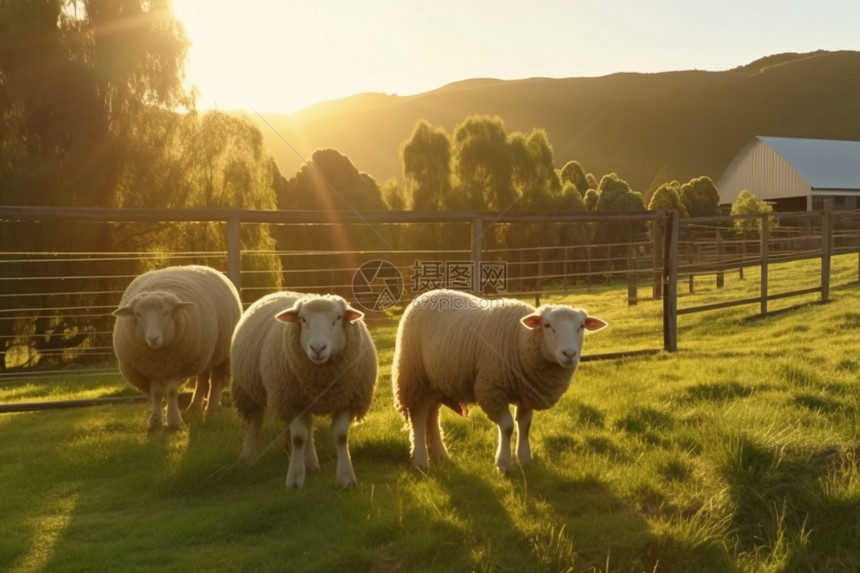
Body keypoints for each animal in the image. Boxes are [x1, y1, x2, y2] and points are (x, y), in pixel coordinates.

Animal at [111, 264, 242, 428]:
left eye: (166, 313)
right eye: (138, 314)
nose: (153, 338)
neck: (159, 356)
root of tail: (205, 267)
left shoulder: (178, 366)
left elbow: (172, 391)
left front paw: (174, 421)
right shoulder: (149, 369)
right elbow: (157, 393)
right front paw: (155, 422)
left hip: (222, 352)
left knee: (217, 381)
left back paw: (212, 411)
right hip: (204, 352)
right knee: (203, 377)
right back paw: (194, 407)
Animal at [228, 292, 376, 490]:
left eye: (338, 318)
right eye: (303, 320)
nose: (318, 348)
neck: (322, 379)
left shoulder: (348, 400)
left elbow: (340, 436)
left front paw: (346, 478)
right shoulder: (293, 402)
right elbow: (298, 437)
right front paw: (295, 479)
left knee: (307, 426)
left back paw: (311, 463)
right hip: (247, 389)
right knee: (255, 421)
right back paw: (249, 457)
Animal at [390, 288, 604, 472]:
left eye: (581, 326)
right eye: (547, 325)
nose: (570, 354)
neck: (519, 339)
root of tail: (427, 294)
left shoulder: (527, 391)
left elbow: (525, 425)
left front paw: (525, 459)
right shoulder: (492, 389)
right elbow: (508, 427)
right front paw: (504, 464)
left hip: (436, 381)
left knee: (432, 414)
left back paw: (441, 455)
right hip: (414, 376)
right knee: (418, 416)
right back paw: (420, 460)